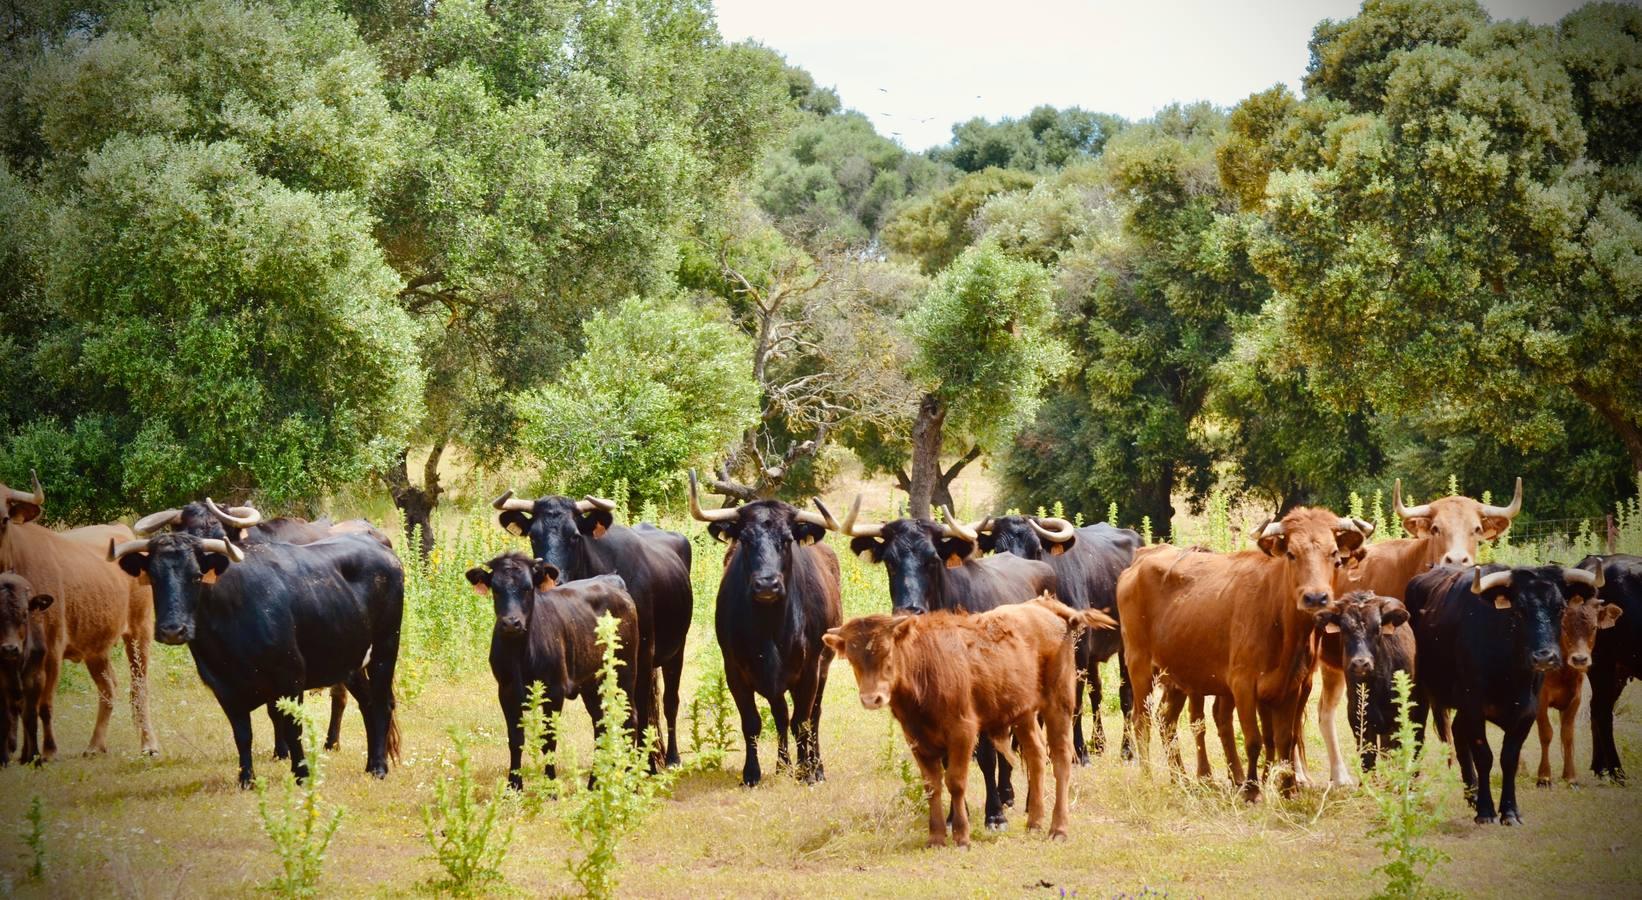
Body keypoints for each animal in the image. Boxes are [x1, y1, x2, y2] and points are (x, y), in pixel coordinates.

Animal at [0, 472, 156, 755]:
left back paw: (149, 744)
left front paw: (47, 752)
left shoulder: (51, 648)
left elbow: (43, 704)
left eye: (4, 518)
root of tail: (122, 531)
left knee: (139, 687)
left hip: (139, 631)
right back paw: (95, 745)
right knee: (108, 687)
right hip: (96, 644)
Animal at [821, 594, 1116, 847]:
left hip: (1059, 703)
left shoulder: (962, 732)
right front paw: (936, 837)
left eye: (886, 652)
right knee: (1036, 754)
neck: (923, 665)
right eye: (853, 658)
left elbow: (955, 782)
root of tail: (1045, 607)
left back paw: (1059, 829)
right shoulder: (917, 739)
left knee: (1061, 758)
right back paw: (1034, 822)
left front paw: (962, 836)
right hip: (1023, 713)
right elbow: (932, 786)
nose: (872, 698)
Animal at [1116, 509, 1372, 798]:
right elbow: (1254, 740)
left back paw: (1181, 779)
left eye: (1334, 555)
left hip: (1177, 676)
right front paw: (1251, 789)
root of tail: (1139, 562)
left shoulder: (1292, 686)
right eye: (1291, 554)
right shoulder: (1243, 685)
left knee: (1166, 720)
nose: (1316, 598)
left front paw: (1287, 788)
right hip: (1140, 667)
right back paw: (1149, 777)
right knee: (1141, 721)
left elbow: (1284, 738)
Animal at [1530, 594, 1622, 785]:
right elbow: (1546, 732)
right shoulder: (1540, 700)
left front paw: (1570, 776)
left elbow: (1567, 734)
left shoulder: (1575, 698)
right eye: (1564, 626)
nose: (1580, 659)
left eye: (1594, 627)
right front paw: (1544, 776)